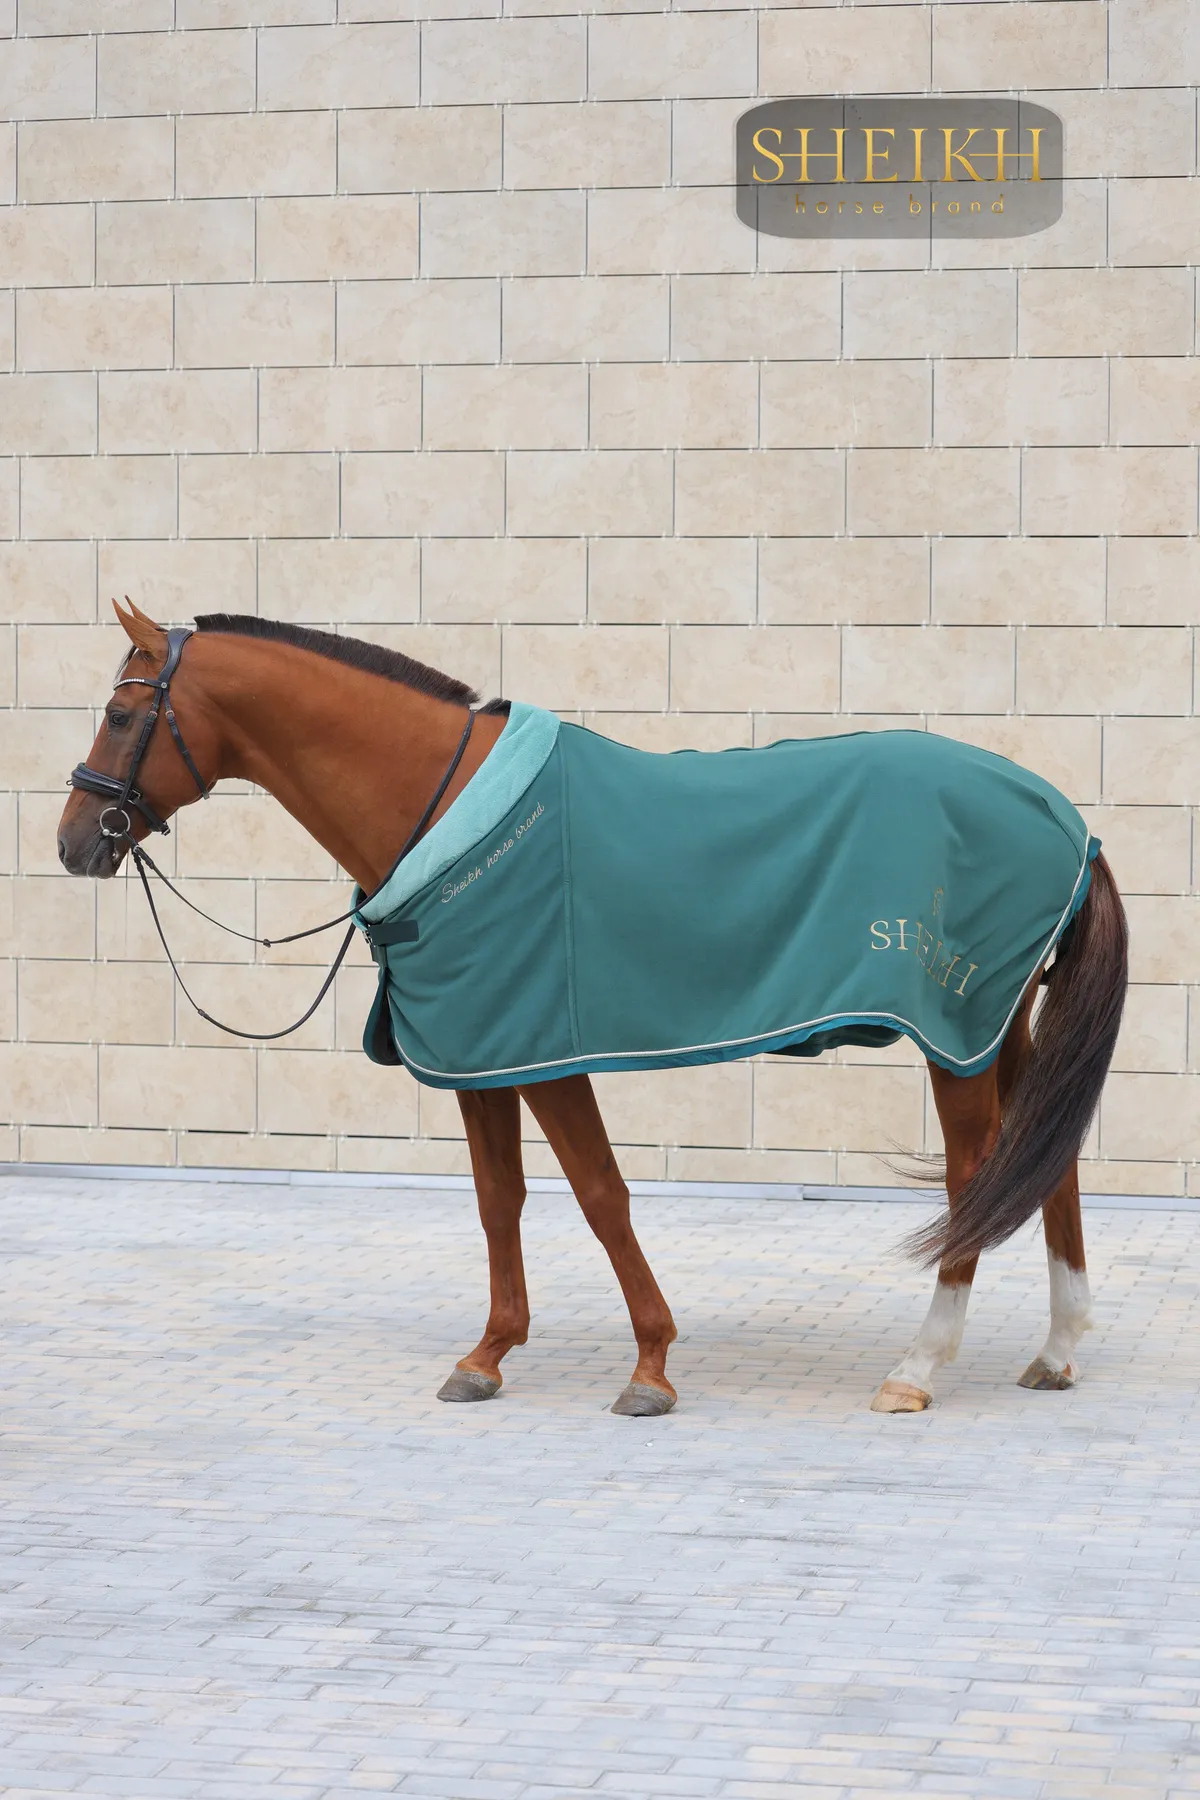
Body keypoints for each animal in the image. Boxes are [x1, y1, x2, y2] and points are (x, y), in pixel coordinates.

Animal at [58, 601, 1128, 1418]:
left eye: (118, 712)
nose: (75, 842)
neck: (442, 805)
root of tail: (1064, 820)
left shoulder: (546, 1050)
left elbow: (602, 1196)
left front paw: (650, 1366)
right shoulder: (481, 1056)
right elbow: (498, 1200)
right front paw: (486, 1356)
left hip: (958, 1038)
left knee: (975, 1180)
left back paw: (917, 1369)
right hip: (1004, 1027)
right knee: (1050, 1163)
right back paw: (1057, 1351)